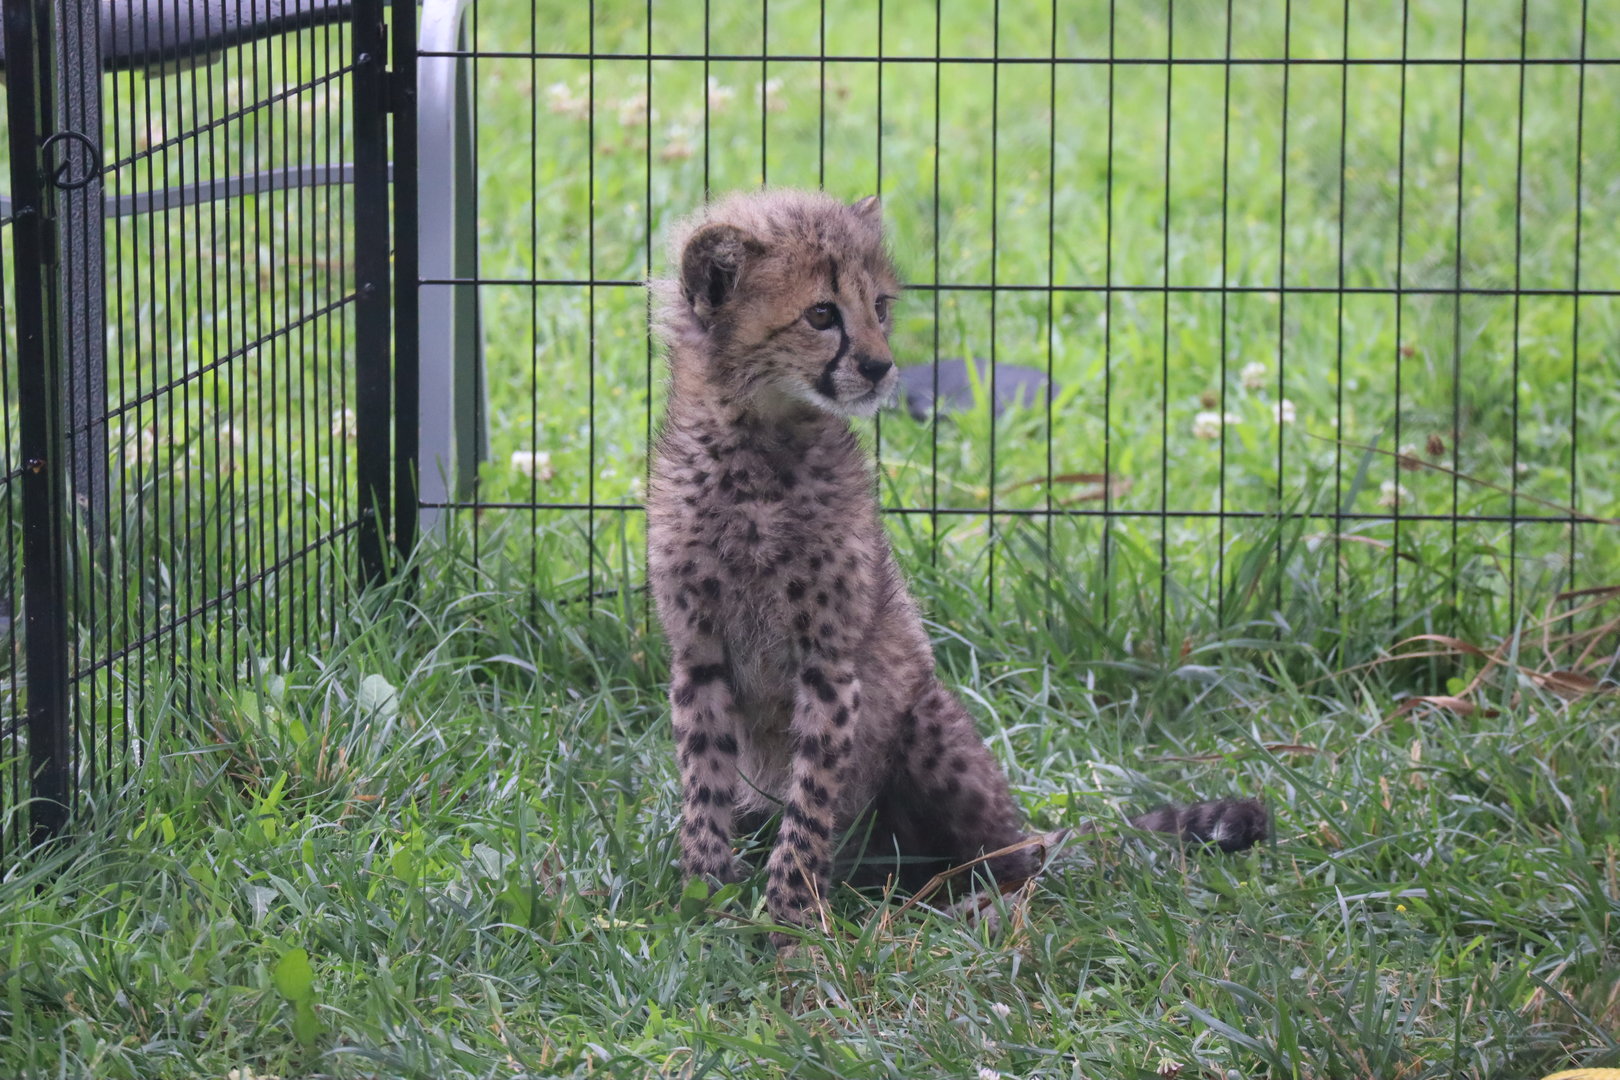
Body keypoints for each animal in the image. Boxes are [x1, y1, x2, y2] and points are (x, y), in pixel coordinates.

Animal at [646, 189, 1266, 943]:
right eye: (822, 314)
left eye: (880, 306)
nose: (881, 368)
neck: (757, 445)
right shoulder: (699, 652)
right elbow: (703, 781)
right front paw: (703, 897)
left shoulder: (830, 662)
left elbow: (811, 801)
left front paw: (792, 918)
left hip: (929, 729)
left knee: (1018, 857)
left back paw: (973, 905)